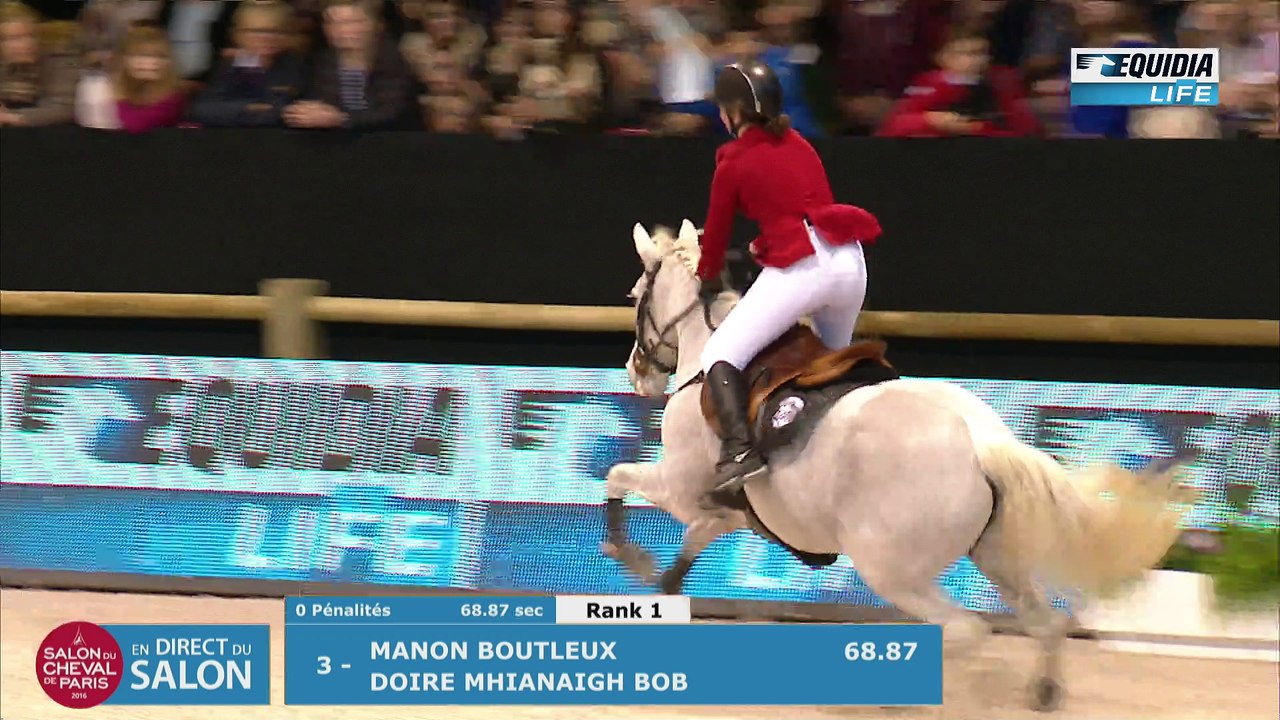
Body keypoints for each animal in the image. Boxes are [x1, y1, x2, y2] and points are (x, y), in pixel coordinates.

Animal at [601, 220, 1192, 712]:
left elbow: (618, 476)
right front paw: (661, 582)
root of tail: (981, 441)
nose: (636, 373)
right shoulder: (725, 511)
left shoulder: (681, 488)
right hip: (997, 556)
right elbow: (689, 547)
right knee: (1043, 621)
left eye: (633, 296)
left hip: (890, 568)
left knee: (966, 630)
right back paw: (1044, 689)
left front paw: (624, 552)